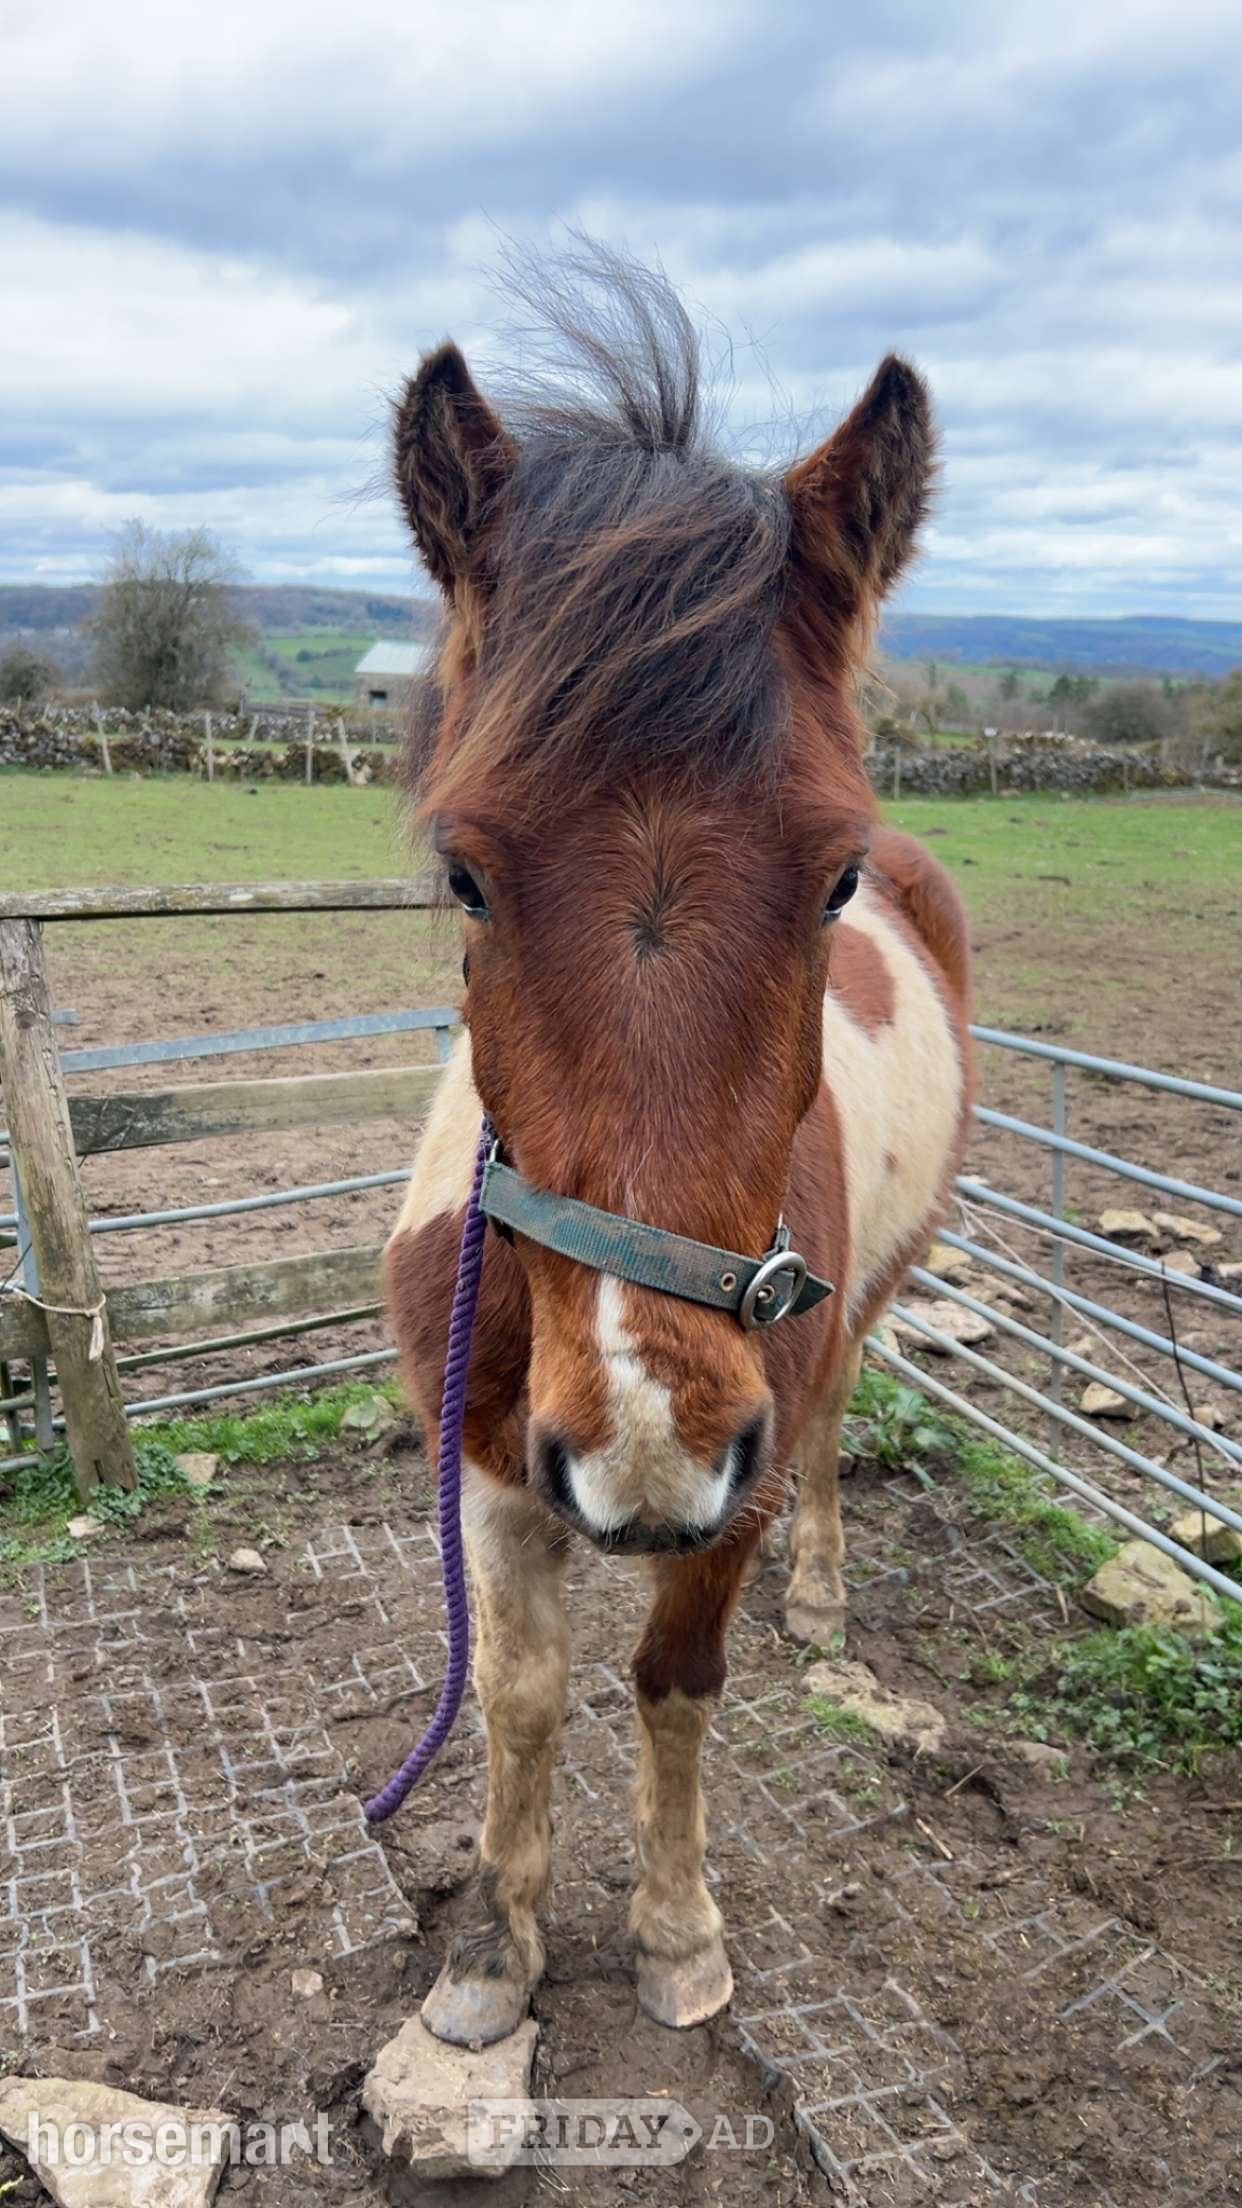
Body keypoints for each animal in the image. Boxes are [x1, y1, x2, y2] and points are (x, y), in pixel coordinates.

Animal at [383, 252, 972, 2048]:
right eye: (465, 871)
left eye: (832, 875)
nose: (650, 1442)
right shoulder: (491, 1465)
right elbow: (516, 1696)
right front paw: (493, 1945)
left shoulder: (739, 1474)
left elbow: (671, 1681)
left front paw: (672, 1930)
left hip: (859, 1315)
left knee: (841, 1414)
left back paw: (825, 1592)